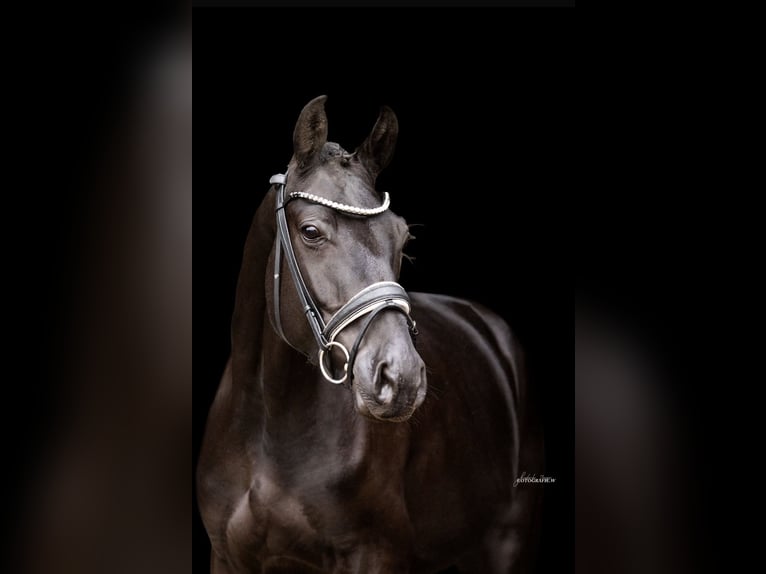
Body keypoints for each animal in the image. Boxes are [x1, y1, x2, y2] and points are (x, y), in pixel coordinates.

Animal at [197, 96, 543, 573]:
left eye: (404, 236)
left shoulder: (374, 554)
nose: (401, 378)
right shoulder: (228, 557)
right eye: (311, 231)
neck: (269, 425)